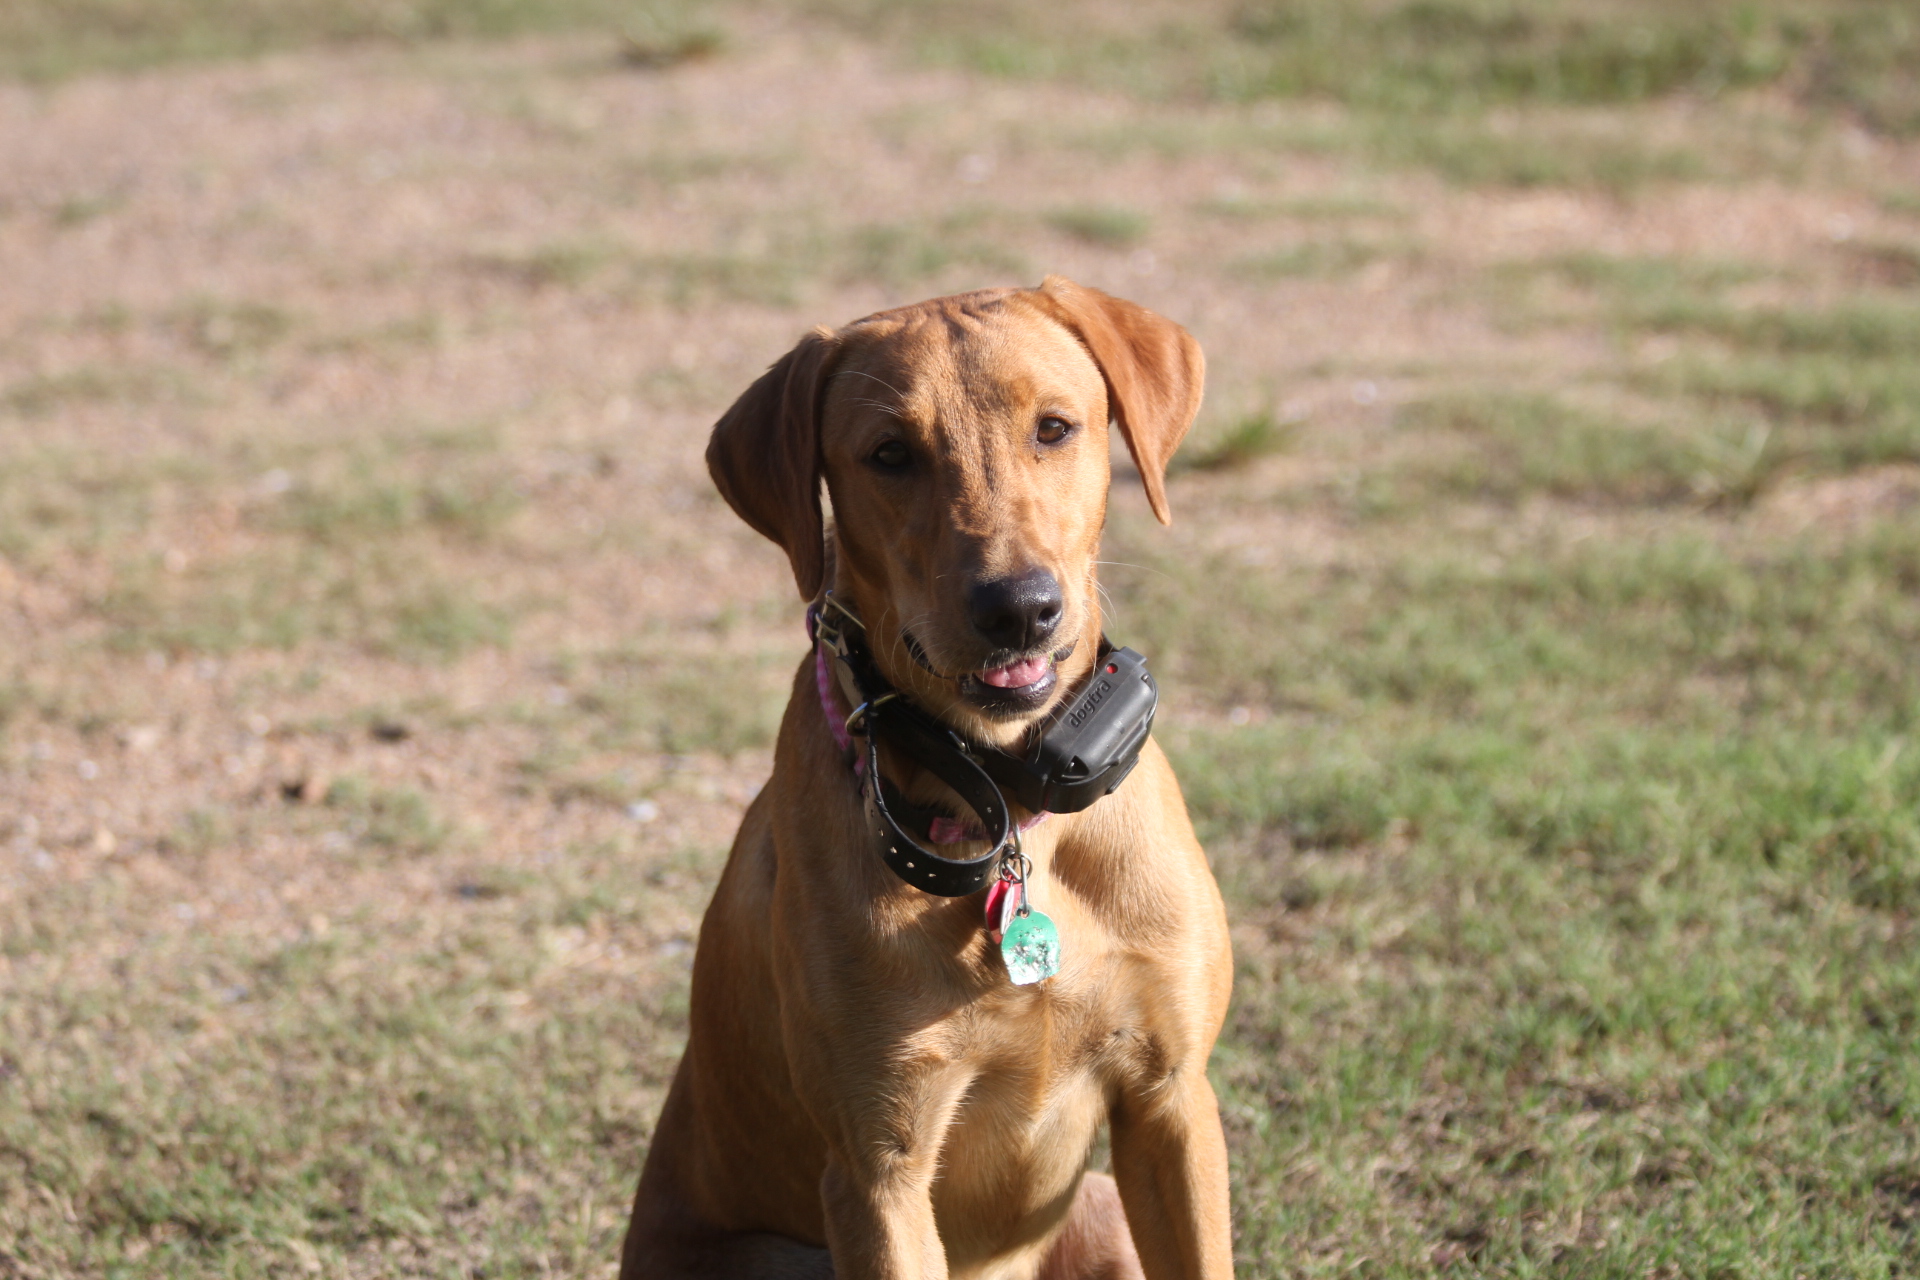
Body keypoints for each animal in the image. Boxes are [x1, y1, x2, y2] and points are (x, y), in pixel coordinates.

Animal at [622, 276, 1236, 1274]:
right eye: (890, 455)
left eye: (1055, 428)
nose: (1018, 609)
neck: (1010, 807)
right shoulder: (879, 1173)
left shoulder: (1172, 1102)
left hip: (1102, 1207)